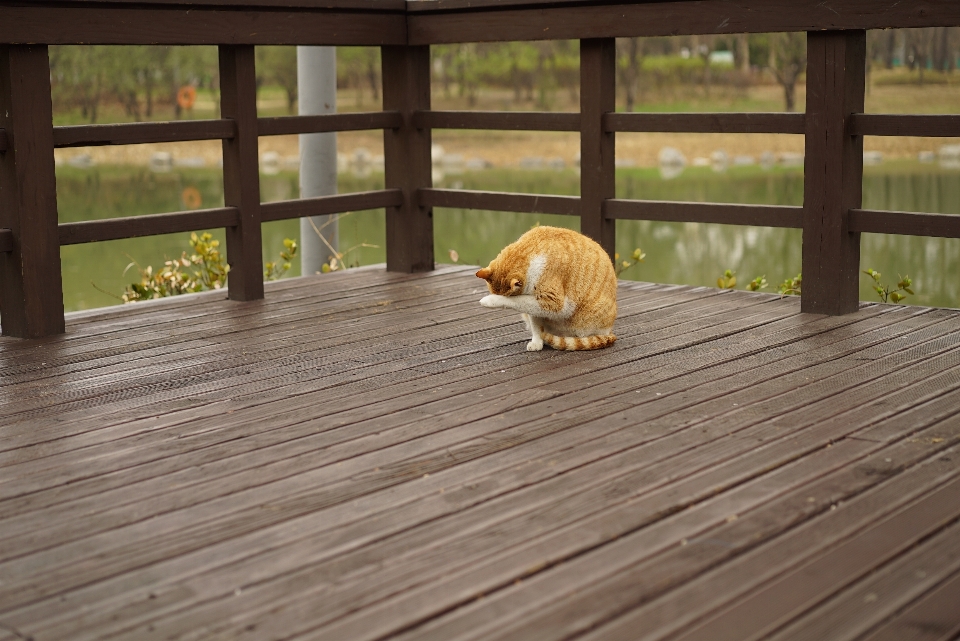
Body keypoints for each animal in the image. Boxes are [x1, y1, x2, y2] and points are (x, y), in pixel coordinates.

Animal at [476, 225, 620, 350]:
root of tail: (610, 331)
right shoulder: (535, 302)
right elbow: (536, 324)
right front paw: (537, 342)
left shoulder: (554, 302)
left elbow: (514, 301)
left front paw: (490, 300)